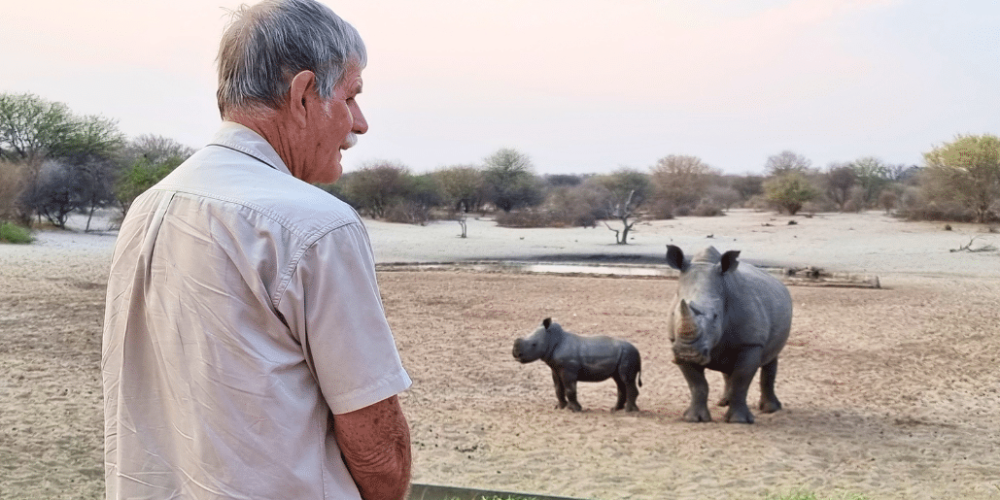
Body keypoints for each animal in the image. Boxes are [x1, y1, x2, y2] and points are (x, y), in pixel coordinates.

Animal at [512, 318, 642, 412]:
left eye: (534, 344)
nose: (515, 354)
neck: (552, 339)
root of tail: (638, 351)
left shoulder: (568, 370)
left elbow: (570, 389)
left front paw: (575, 409)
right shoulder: (555, 369)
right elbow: (558, 388)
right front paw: (560, 407)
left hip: (628, 355)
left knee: (626, 380)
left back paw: (629, 411)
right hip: (624, 356)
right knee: (619, 380)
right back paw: (615, 409)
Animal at [665, 245, 793, 424]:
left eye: (715, 316)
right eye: (673, 314)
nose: (687, 352)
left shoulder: (751, 343)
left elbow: (740, 381)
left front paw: (739, 420)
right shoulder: (674, 342)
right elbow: (697, 385)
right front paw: (694, 418)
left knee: (770, 359)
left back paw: (771, 409)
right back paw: (723, 402)